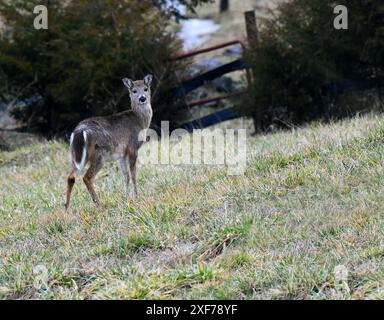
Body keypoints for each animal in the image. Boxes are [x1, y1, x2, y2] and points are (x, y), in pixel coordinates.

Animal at [65, 74, 153, 211]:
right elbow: (133, 174)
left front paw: (126, 197)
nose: (142, 98)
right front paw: (136, 196)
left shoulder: (122, 154)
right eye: (134, 91)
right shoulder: (132, 147)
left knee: (71, 177)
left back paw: (66, 208)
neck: (140, 122)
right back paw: (99, 204)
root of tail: (79, 131)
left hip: (77, 156)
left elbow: (125, 176)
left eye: (145, 88)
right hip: (99, 154)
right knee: (87, 177)